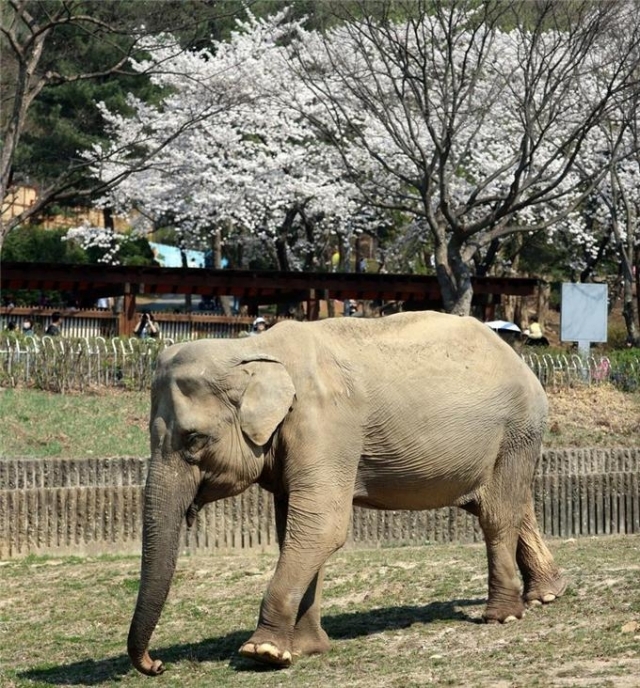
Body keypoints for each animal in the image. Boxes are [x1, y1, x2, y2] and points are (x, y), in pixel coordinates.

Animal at [129, 310, 564, 676]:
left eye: (194, 440)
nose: (158, 665)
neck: (253, 350)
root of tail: (519, 359)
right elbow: (296, 530)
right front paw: (305, 649)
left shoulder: (325, 423)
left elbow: (322, 526)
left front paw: (263, 652)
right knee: (510, 504)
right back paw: (547, 595)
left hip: (516, 429)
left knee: (496, 515)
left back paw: (503, 616)